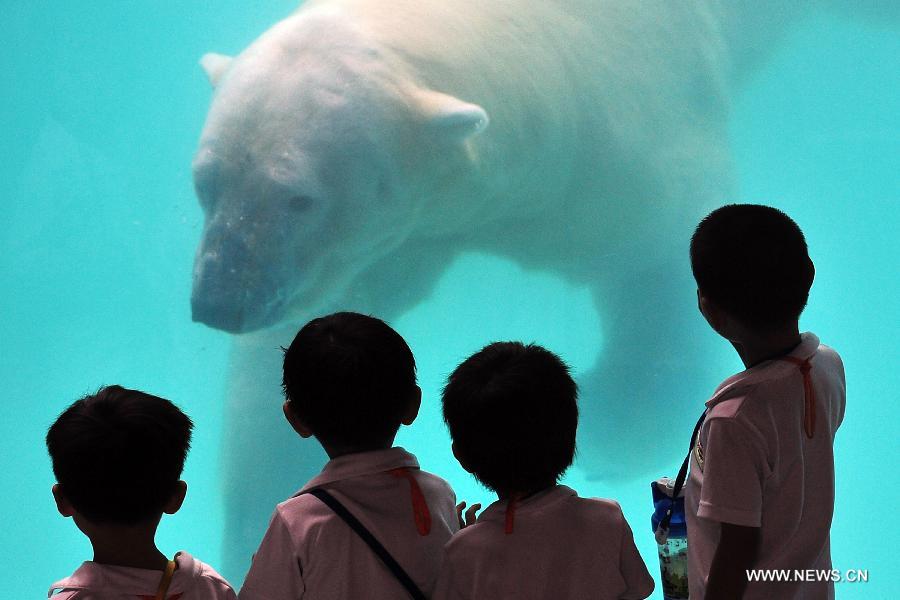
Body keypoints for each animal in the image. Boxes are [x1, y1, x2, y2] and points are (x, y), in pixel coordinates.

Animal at [190, 0, 824, 580]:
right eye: (205, 179)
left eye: (299, 196)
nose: (219, 301)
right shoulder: (406, 233)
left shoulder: (614, 140)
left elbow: (658, 253)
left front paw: (614, 432)